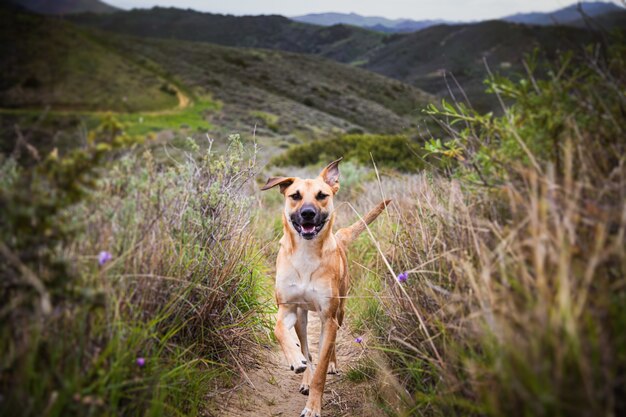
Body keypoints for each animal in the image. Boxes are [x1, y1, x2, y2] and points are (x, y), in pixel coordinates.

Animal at [258, 158, 386, 414]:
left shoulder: (328, 317)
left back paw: (332, 365)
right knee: (307, 348)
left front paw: (313, 407)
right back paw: (303, 372)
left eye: (322, 195)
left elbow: (322, 368)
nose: (308, 213)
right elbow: (280, 331)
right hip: (302, 318)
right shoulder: (288, 308)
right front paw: (295, 360)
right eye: (295, 196)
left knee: (331, 345)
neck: (306, 254)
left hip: (340, 311)